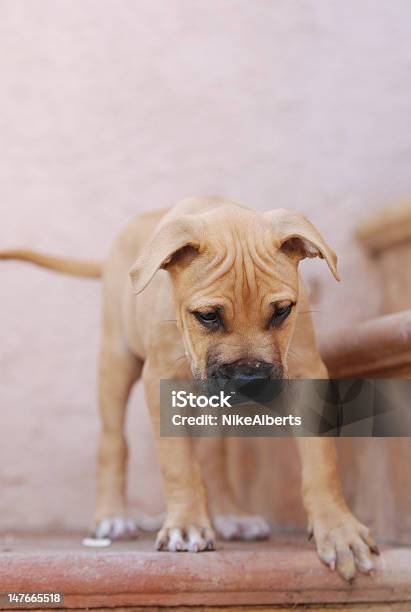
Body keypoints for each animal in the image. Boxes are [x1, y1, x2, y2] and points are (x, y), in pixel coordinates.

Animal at [0, 198, 380, 580]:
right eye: (208, 316)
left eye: (282, 311)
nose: (250, 380)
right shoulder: (161, 380)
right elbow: (178, 461)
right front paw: (185, 525)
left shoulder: (306, 373)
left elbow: (320, 459)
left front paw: (338, 529)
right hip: (115, 361)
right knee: (112, 443)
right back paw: (112, 517)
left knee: (213, 454)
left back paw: (232, 516)